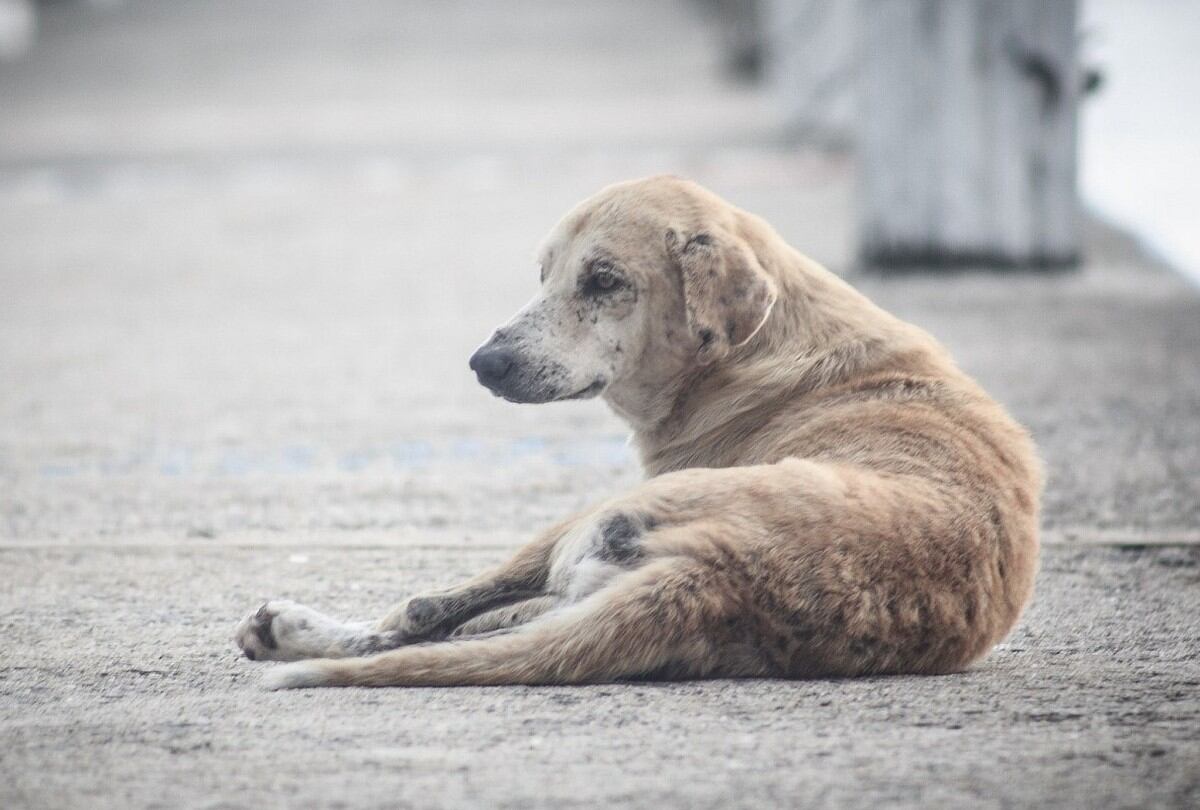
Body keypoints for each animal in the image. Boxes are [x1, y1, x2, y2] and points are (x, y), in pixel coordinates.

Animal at [231, 177, 1041, 691]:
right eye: (545, 274)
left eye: (604, 280)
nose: (483, 363)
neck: (759, 347)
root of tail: (715, 577)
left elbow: (429, 610)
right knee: (479, 631)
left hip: (588, 522)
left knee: (422, 620)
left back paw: (291, 632)